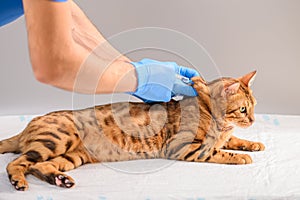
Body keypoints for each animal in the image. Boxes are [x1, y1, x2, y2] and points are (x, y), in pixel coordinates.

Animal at [0, 70, 264, 191]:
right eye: (243, 109)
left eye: (254, 106)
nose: (252, 119)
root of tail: (27, 126)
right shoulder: (183, 146)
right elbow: (218, 151)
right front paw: (241, 157)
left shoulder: (222, 137)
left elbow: (233, 139)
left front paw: (253, 144)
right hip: (58, 139)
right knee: (17, 163)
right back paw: (18, 181)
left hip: (74, 155)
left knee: (39, 166)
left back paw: (60, 179)